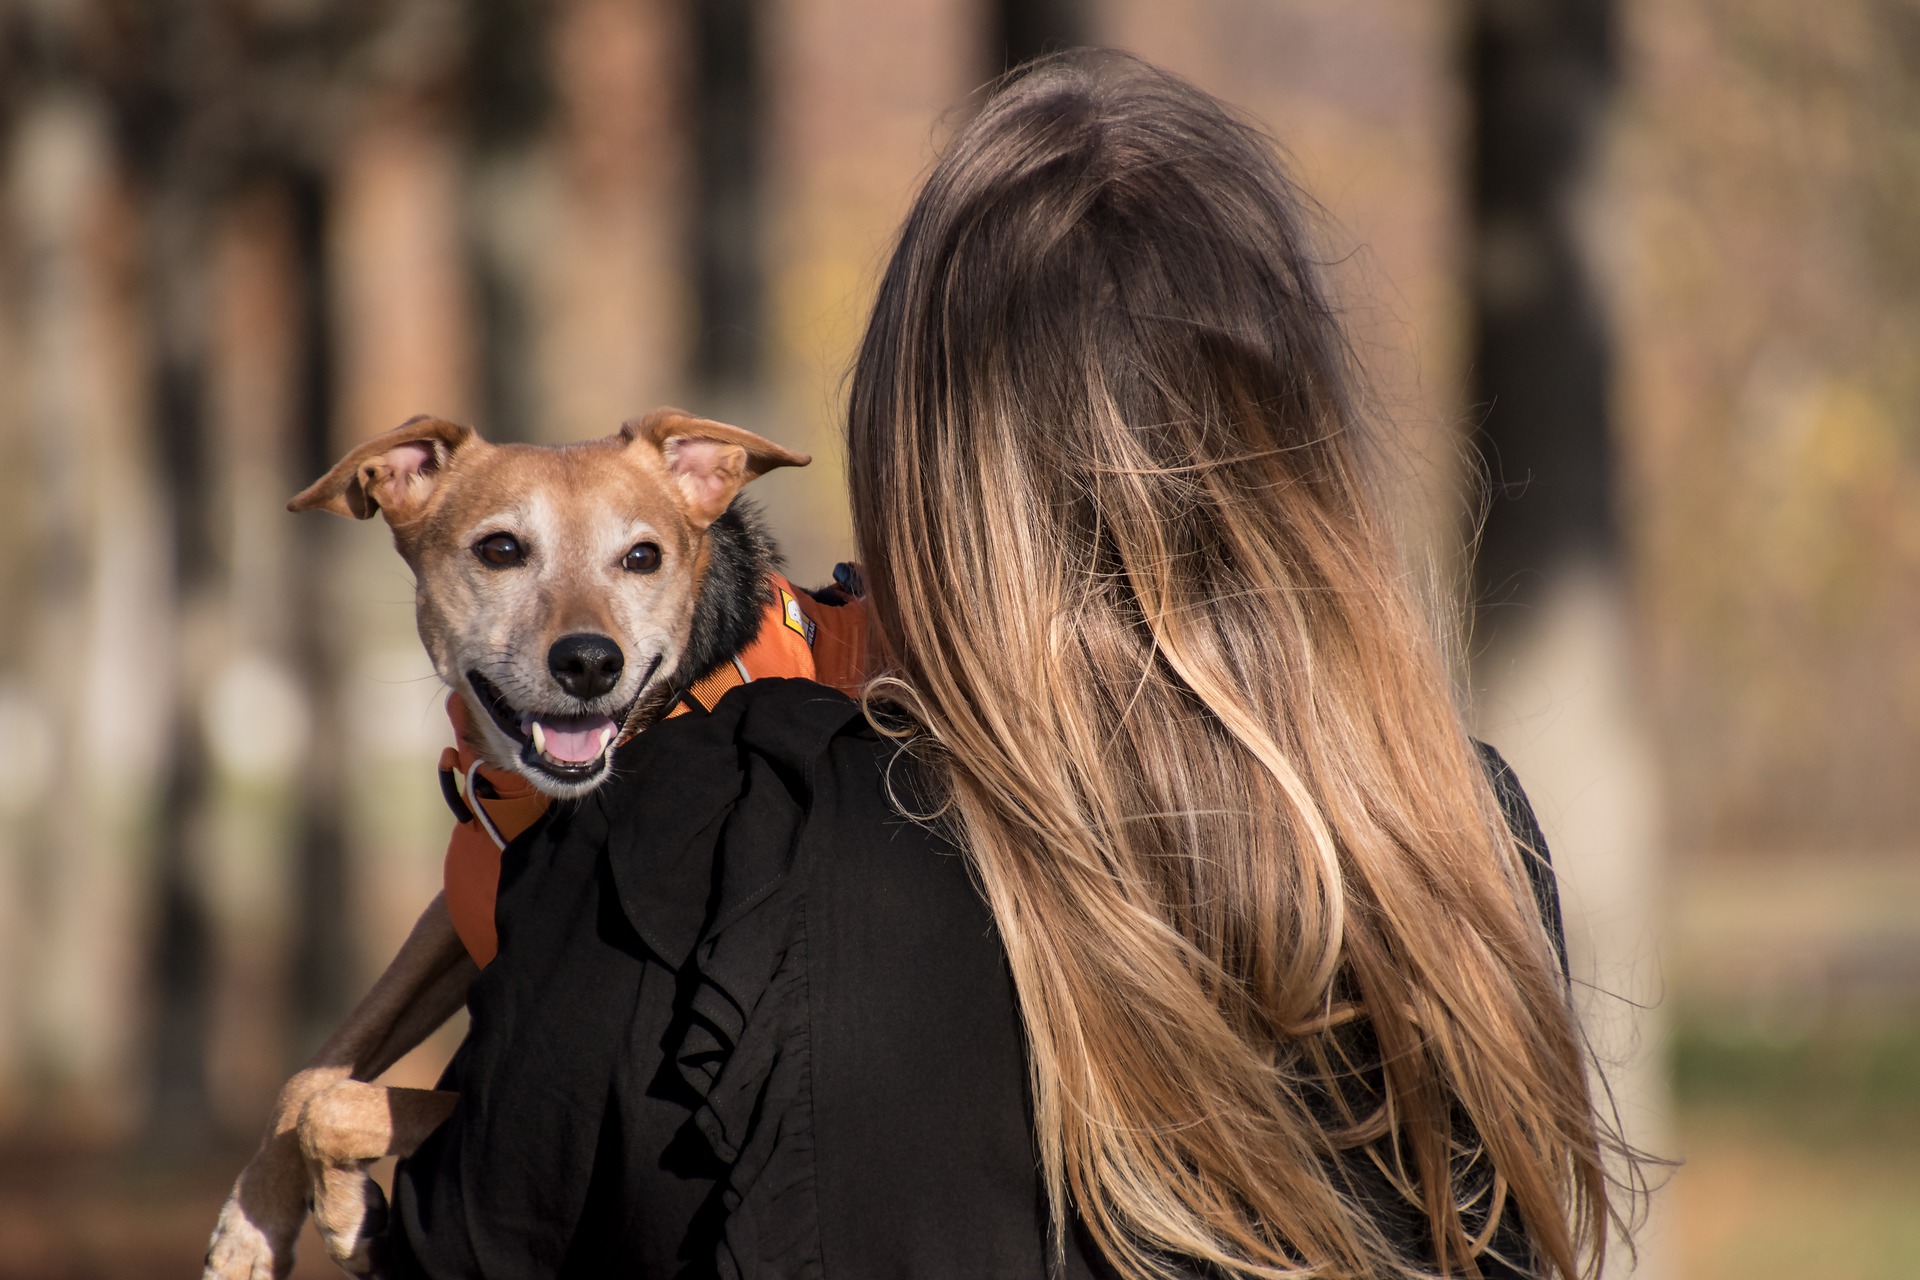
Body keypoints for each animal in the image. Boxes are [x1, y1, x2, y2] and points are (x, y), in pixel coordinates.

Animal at [204, 410, 833, 1280]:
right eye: (500, 549)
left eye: (644, 557)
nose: (590, 662)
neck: (531, 800)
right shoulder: (452, 917)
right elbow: (316, 1069)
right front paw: (250, 1226)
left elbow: (337, 1104)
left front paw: (348, 1214)